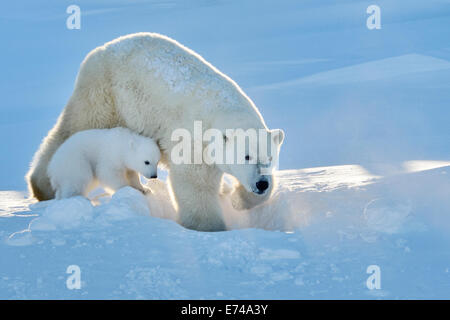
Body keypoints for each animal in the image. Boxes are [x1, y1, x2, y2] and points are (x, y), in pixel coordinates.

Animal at [25, 32, 284, 231]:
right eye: (246, 156)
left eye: (270, 157)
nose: (261, 183)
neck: (224, 111)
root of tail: (102, 48)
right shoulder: (192, 141)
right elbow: (194, 185)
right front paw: (210, 229)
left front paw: (239, 200)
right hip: (105, 94)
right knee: (76, 126)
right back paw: (42, 186)